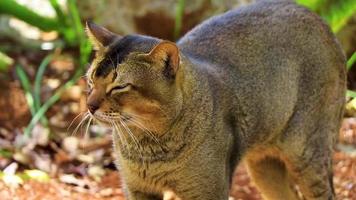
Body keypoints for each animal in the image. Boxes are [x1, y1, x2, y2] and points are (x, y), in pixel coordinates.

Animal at [82, 0, 344, 200]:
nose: (90, 106)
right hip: (264, 167)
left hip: (308, 154)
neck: (149, 148)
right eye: (91, 81)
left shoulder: (207, 191)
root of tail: (320, 19)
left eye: (120, 86)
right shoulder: (137, 188)